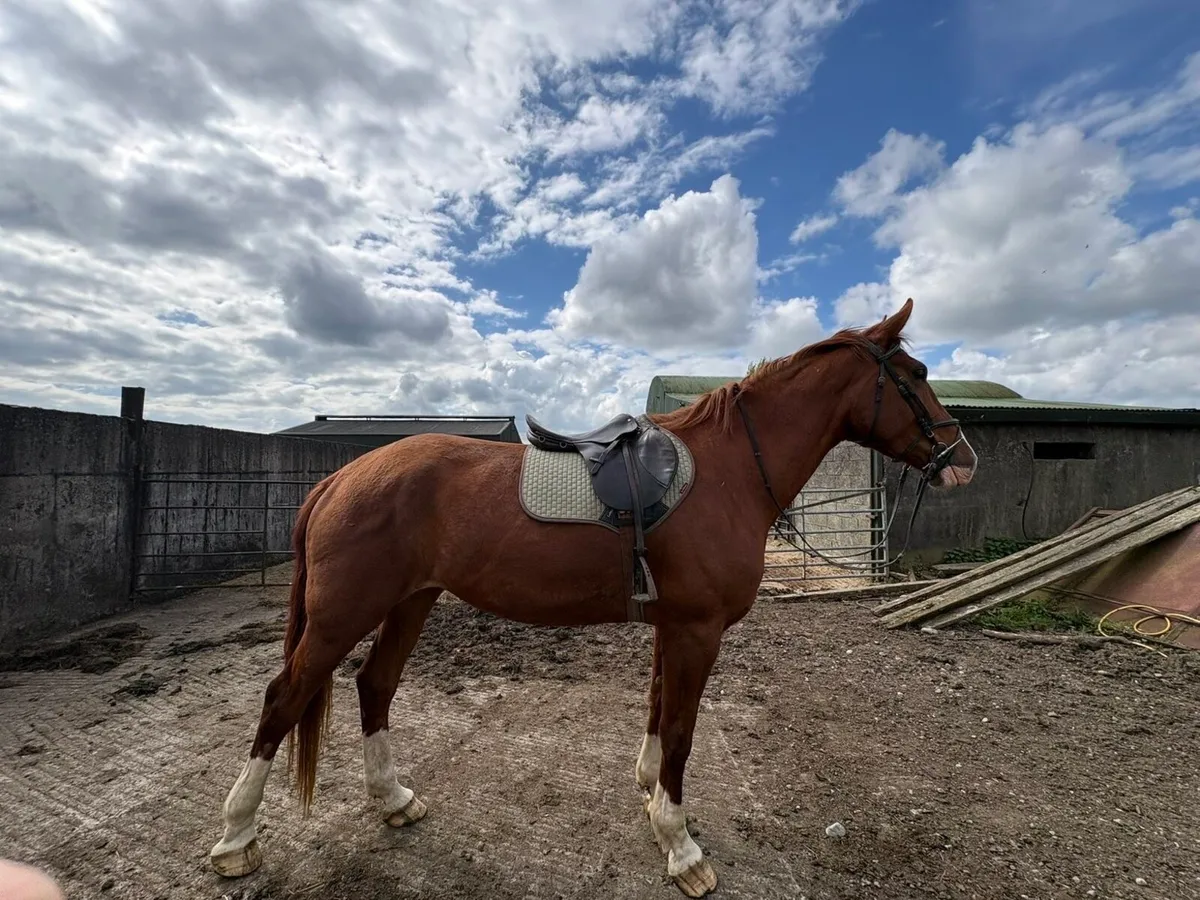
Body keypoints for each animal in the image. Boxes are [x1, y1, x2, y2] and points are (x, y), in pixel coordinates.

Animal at [207, 298, 977, 897]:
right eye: (914, 378)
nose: (963, 460)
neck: (728, 473)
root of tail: (338, 479)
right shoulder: (698, 629)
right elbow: (682, 729)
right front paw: (682, 848)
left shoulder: (675, 626)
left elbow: (659, 708)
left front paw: (652, 797)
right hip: (343, 615)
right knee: (284, 697)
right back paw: (236, 839)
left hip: (411, 601)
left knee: (375, 684)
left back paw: (393, 799)